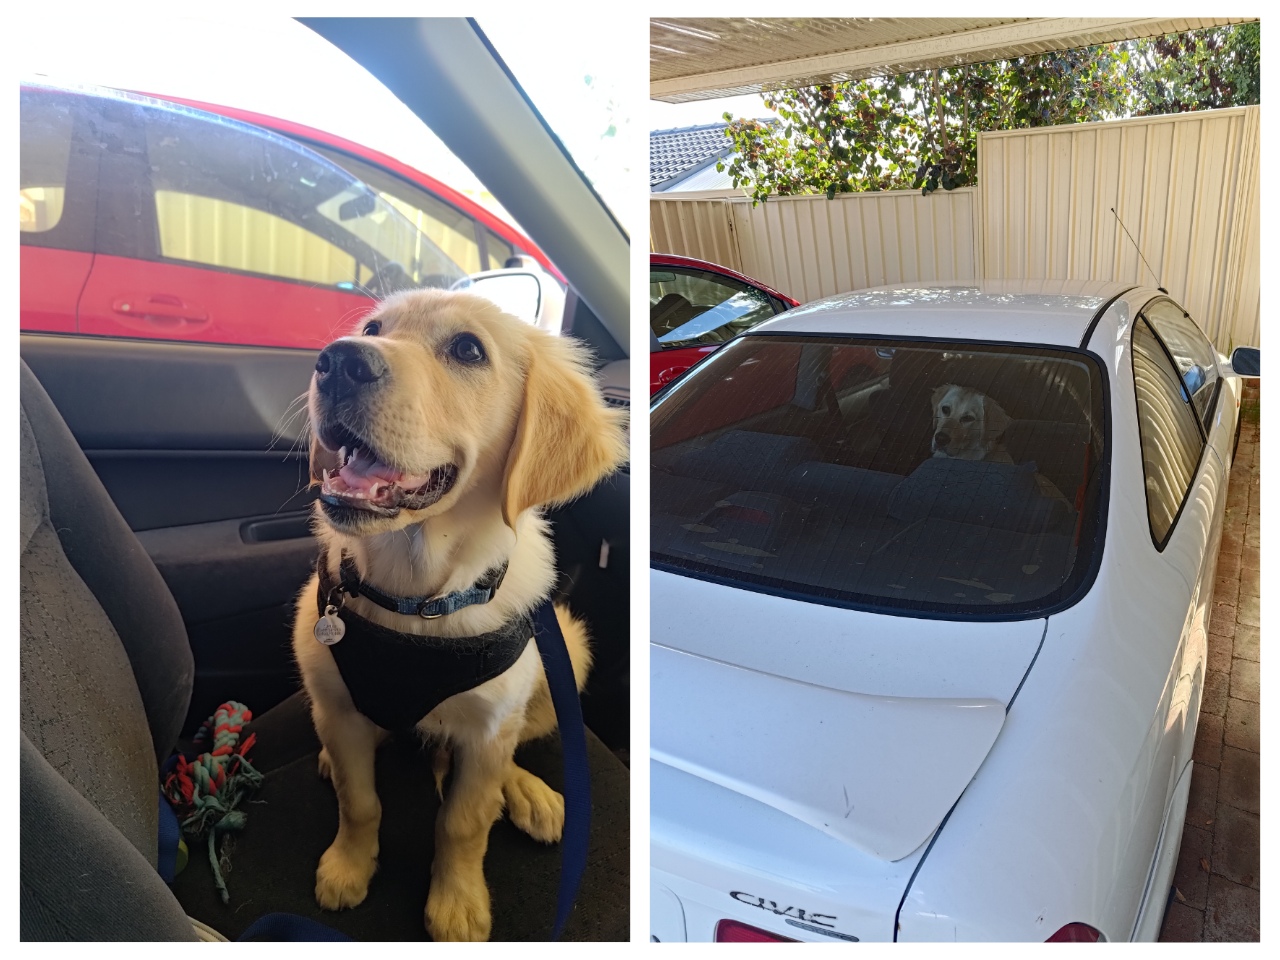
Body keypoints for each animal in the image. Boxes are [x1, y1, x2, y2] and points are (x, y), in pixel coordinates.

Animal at [291, 289, 629, 942]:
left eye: (468, 350)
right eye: (373, 329)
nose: (337, 362)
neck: (414, 597)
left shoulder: (489, 726)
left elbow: (464, 822)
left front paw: (458, 902)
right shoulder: (341, 705)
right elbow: (359, 799)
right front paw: (348, 866)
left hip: (566, 652)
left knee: (504, 756)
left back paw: (525, 793)